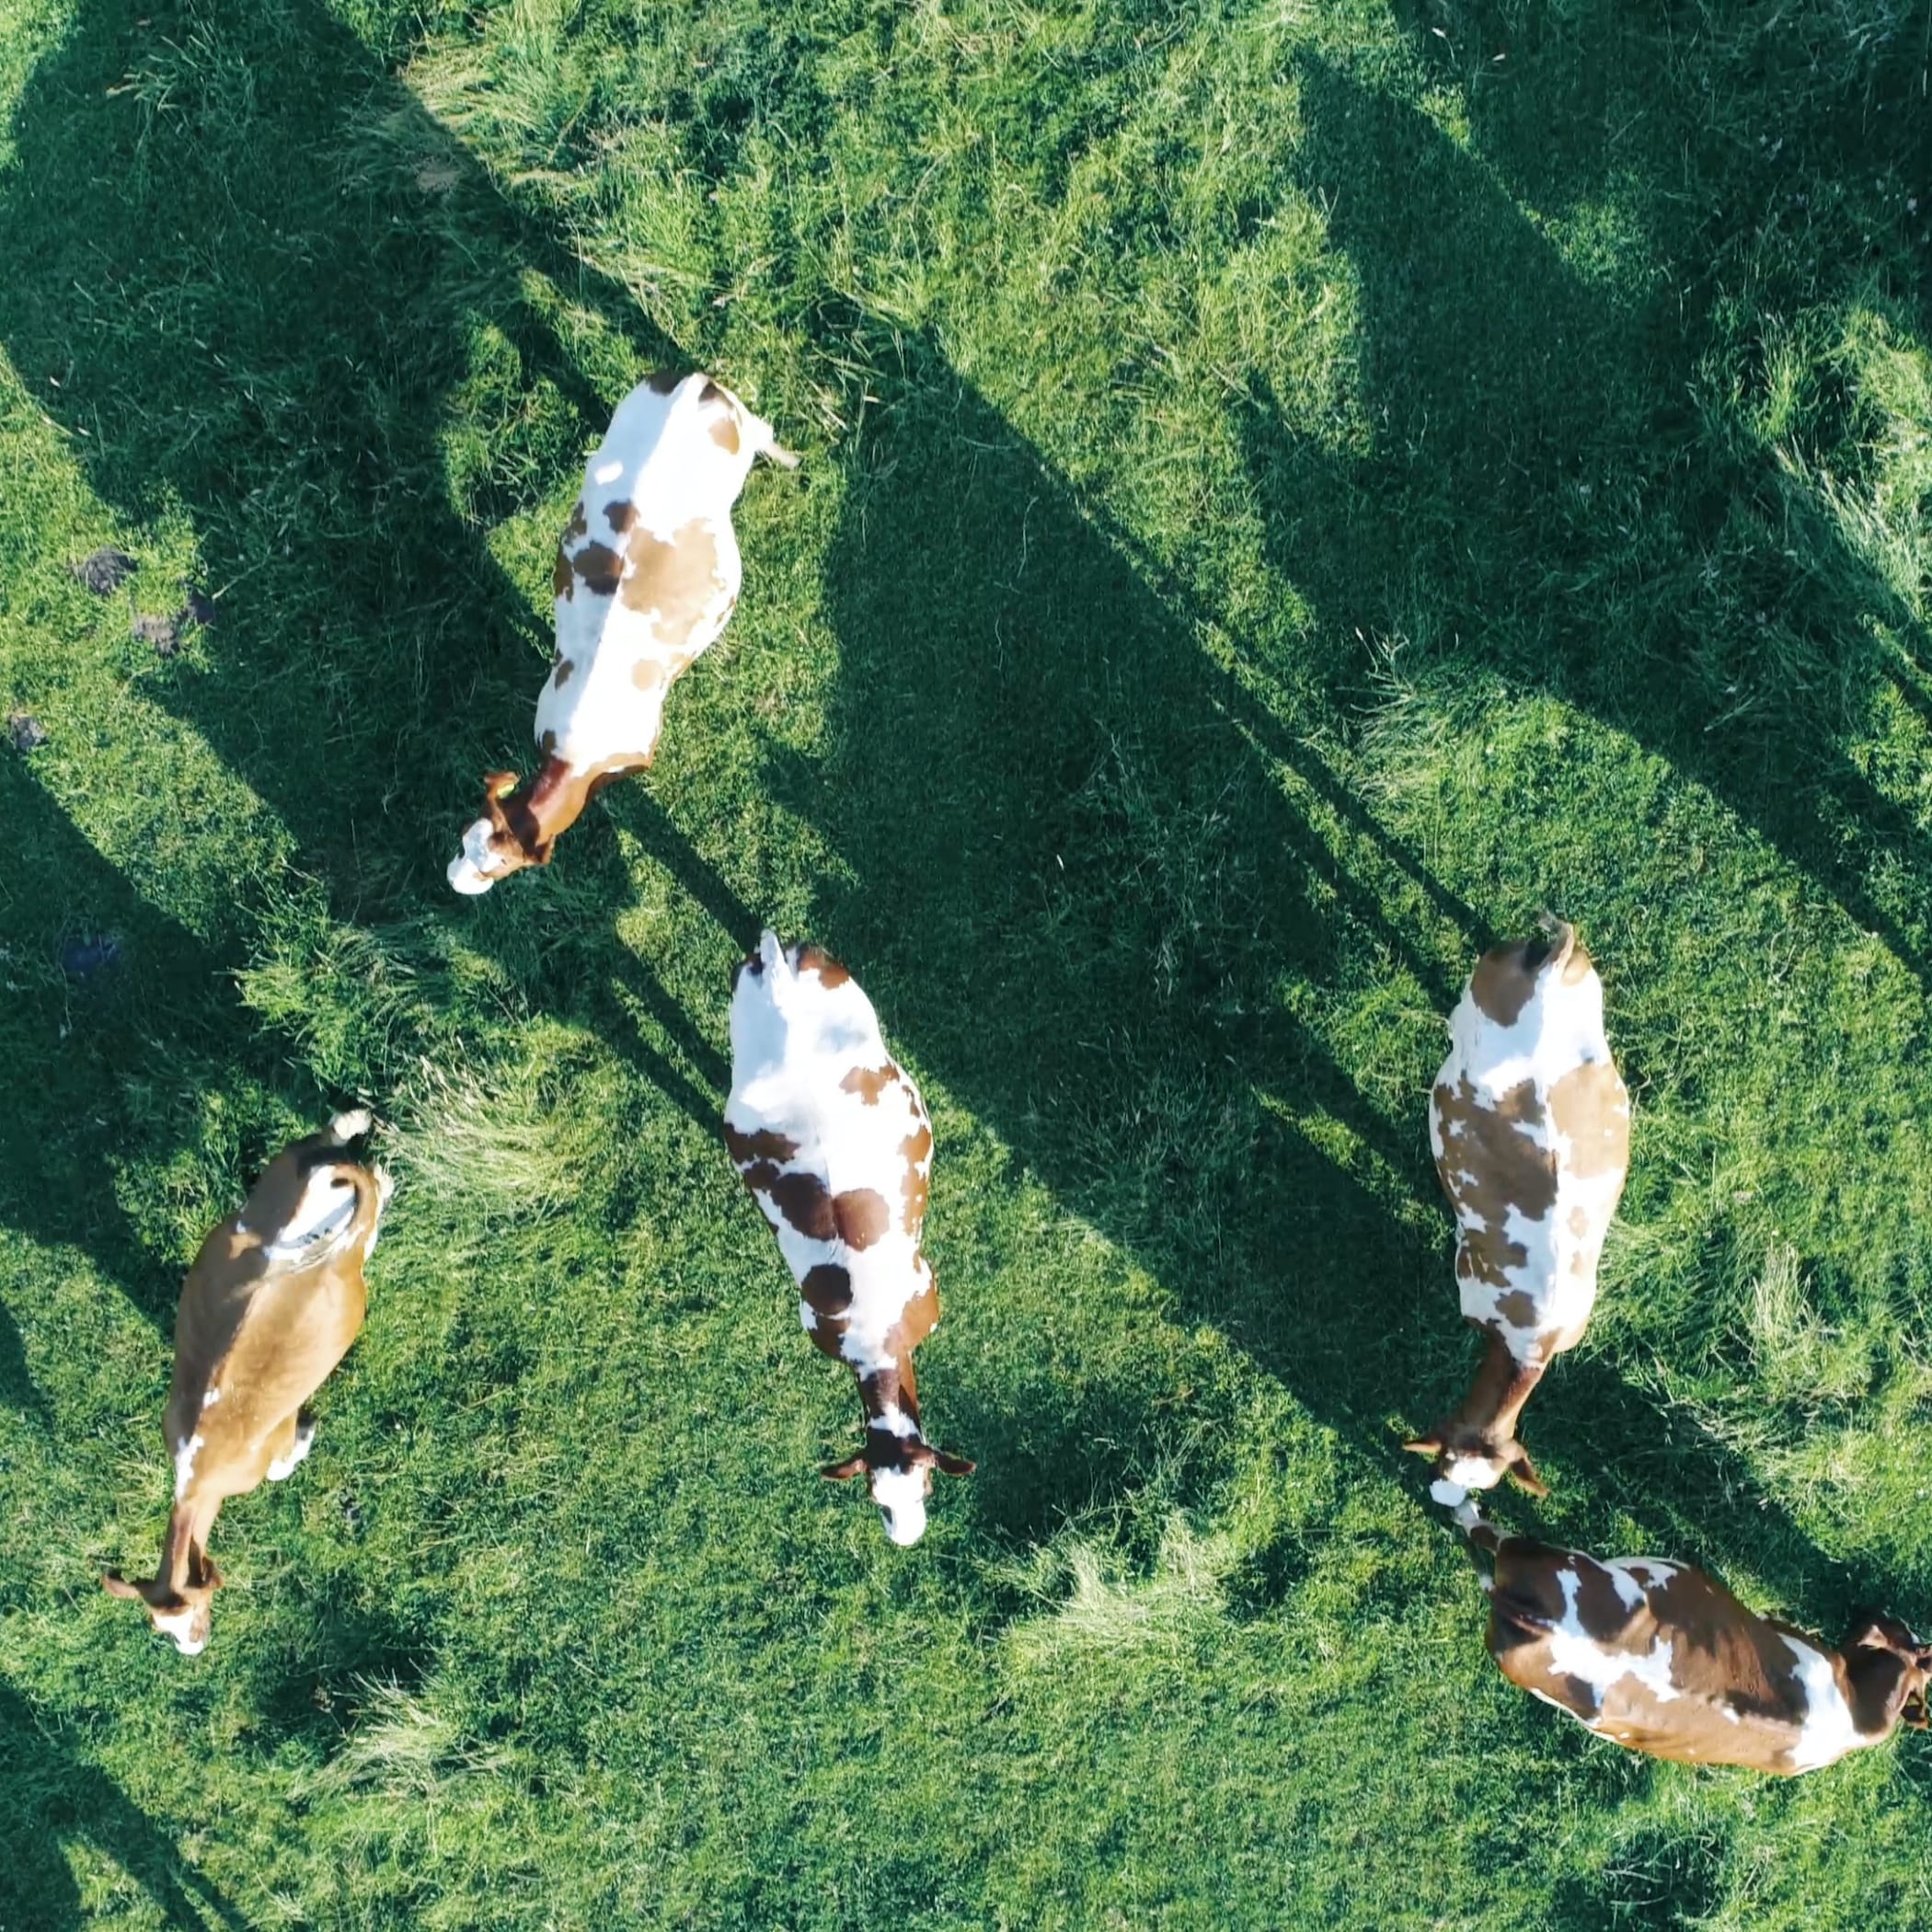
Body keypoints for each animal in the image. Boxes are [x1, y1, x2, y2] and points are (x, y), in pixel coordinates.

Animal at [103, 1112, 389, 1654]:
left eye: (195, 1610)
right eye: (161, 1628)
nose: (192, 1650)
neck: (197, 1476)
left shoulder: (269, 1450)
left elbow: (280, 1466)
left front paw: (306, 1438)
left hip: (354, 1254)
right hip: (286, 1177)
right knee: (333, 1135)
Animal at [448, 369, 797, 894]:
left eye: (500, 867)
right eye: (463, 839)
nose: (452, 881)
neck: (576, 757)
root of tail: (693, 384)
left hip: (740, 439)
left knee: (763, 431)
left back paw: (788, 458)